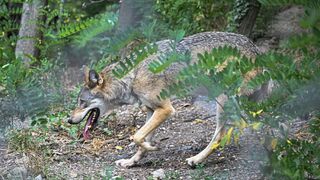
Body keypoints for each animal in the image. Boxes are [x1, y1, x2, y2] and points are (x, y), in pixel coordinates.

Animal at [69, 31, 272, 168]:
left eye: (81, 102)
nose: (69, 120)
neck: (133, 75)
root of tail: (258, 51)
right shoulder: (151, 111)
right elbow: (141, 139)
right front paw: (131, 161)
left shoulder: (166, 109)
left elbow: (137, 136)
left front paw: (151, 148)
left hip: (223, 101)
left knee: (221, 135)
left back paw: (196, 159)